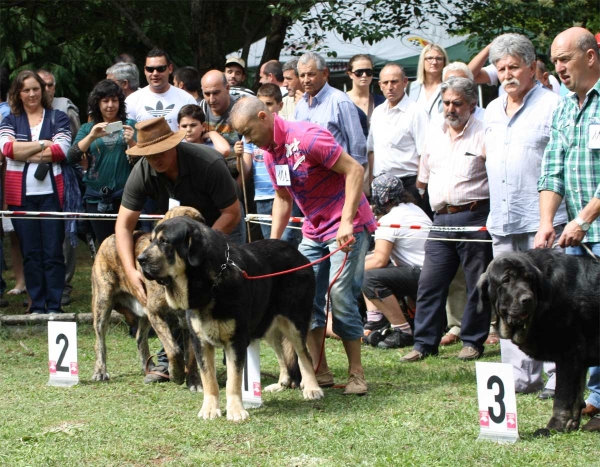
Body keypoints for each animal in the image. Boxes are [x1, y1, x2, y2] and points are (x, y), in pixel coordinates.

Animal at [91, 206, 204, 392]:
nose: (141, 260)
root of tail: (109, 238)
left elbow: (191, 356)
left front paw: (194, 381)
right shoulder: (157, 314)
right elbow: (174, 350)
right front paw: (176, 374)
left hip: (144, 312)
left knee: (139, 338)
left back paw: (149, 368)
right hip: (103, 302)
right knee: (100, 340)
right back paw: (100, 371)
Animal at [137, 218, 324, 422]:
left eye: (165, 241)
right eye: (152, 240)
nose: (139, 259)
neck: (209, 285)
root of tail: (299, 255)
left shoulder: (236, 340)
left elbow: (234, 379)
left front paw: (236, 410)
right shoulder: (200, 341)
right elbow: (209, 379)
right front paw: (210, 408)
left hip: (294, 322)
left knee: (304, 355)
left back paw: (312, 388)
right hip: (267, 326)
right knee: (282, 353)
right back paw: (281, 383)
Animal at [478, 250, 600, 436]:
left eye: (529, 279)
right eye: (506, 280)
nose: (527, 299)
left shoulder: (569, 354)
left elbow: (563, 397)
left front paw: (555, 427)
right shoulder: (579, 360)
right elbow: (576, 395)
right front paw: (570, 424)